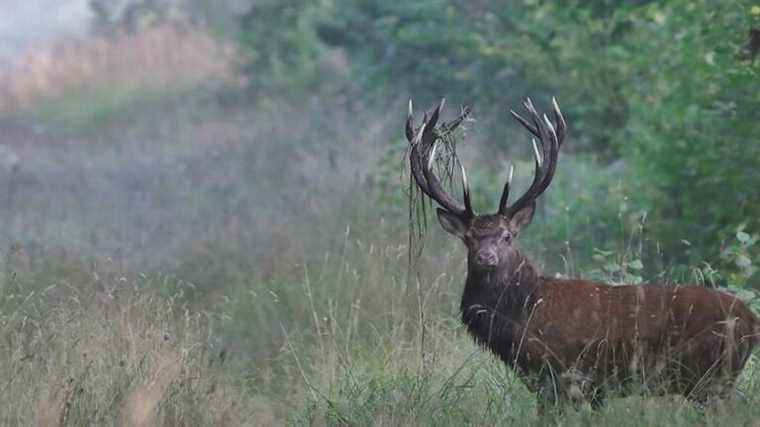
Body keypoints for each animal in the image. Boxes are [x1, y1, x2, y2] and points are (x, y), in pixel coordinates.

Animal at [406, 98, 760, 414]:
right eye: (469, 239)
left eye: (507, 236)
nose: (486, 257)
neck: (522, 316)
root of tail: (752, 321)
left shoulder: (561, 374)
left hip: (709, 376)